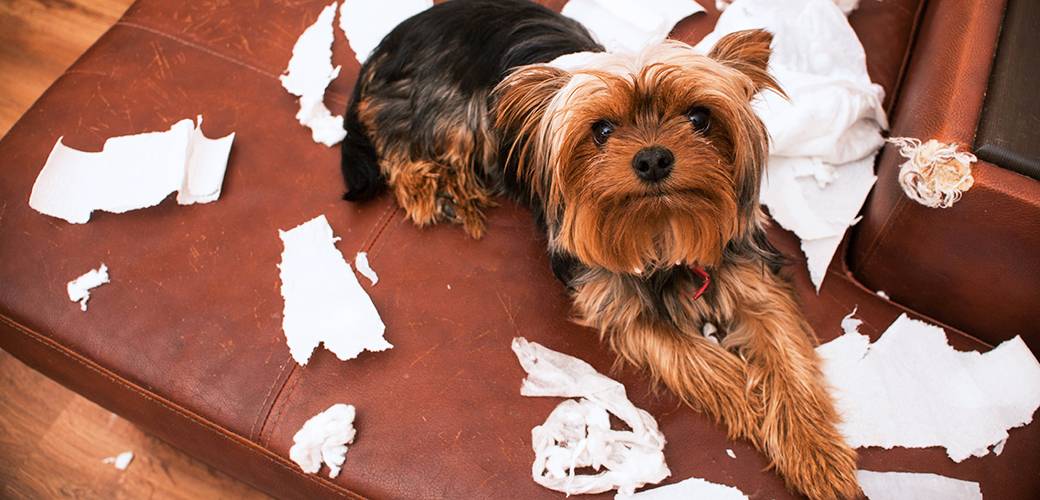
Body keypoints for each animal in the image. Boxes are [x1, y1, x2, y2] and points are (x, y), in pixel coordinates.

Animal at [341, 1, 861, 496]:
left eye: (699, 117)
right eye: (602, 130)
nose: (652, 159)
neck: (662, 228)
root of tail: (400, 33)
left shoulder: (755, 282)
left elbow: (789, 363)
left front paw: (817, 457)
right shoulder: (622, 307)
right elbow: (704, 363)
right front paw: (752, 401)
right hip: (455, 115)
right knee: (399, 142)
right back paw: (436, 190)